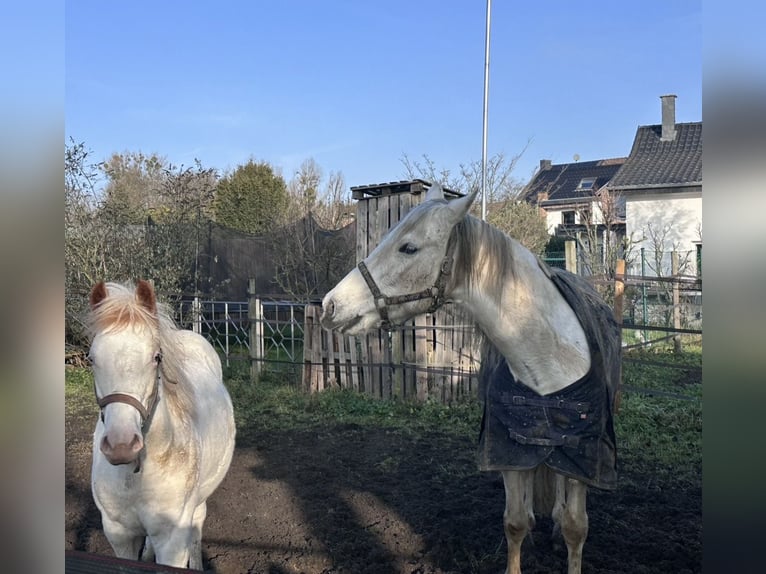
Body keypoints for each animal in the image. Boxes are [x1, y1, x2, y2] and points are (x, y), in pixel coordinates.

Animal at [86, 280, 236, 570]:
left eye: (156, 357)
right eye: (92, 359)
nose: (121, 445)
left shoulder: (172, 541)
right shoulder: (119, 534)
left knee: (197, 527)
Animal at [320, 183, 620, 574]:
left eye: (408, 247)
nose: (329, 305)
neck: (550, 361)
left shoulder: (581, 459)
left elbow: (574, 527)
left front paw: (563, 533)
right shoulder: (508, 452)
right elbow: (516, 522)